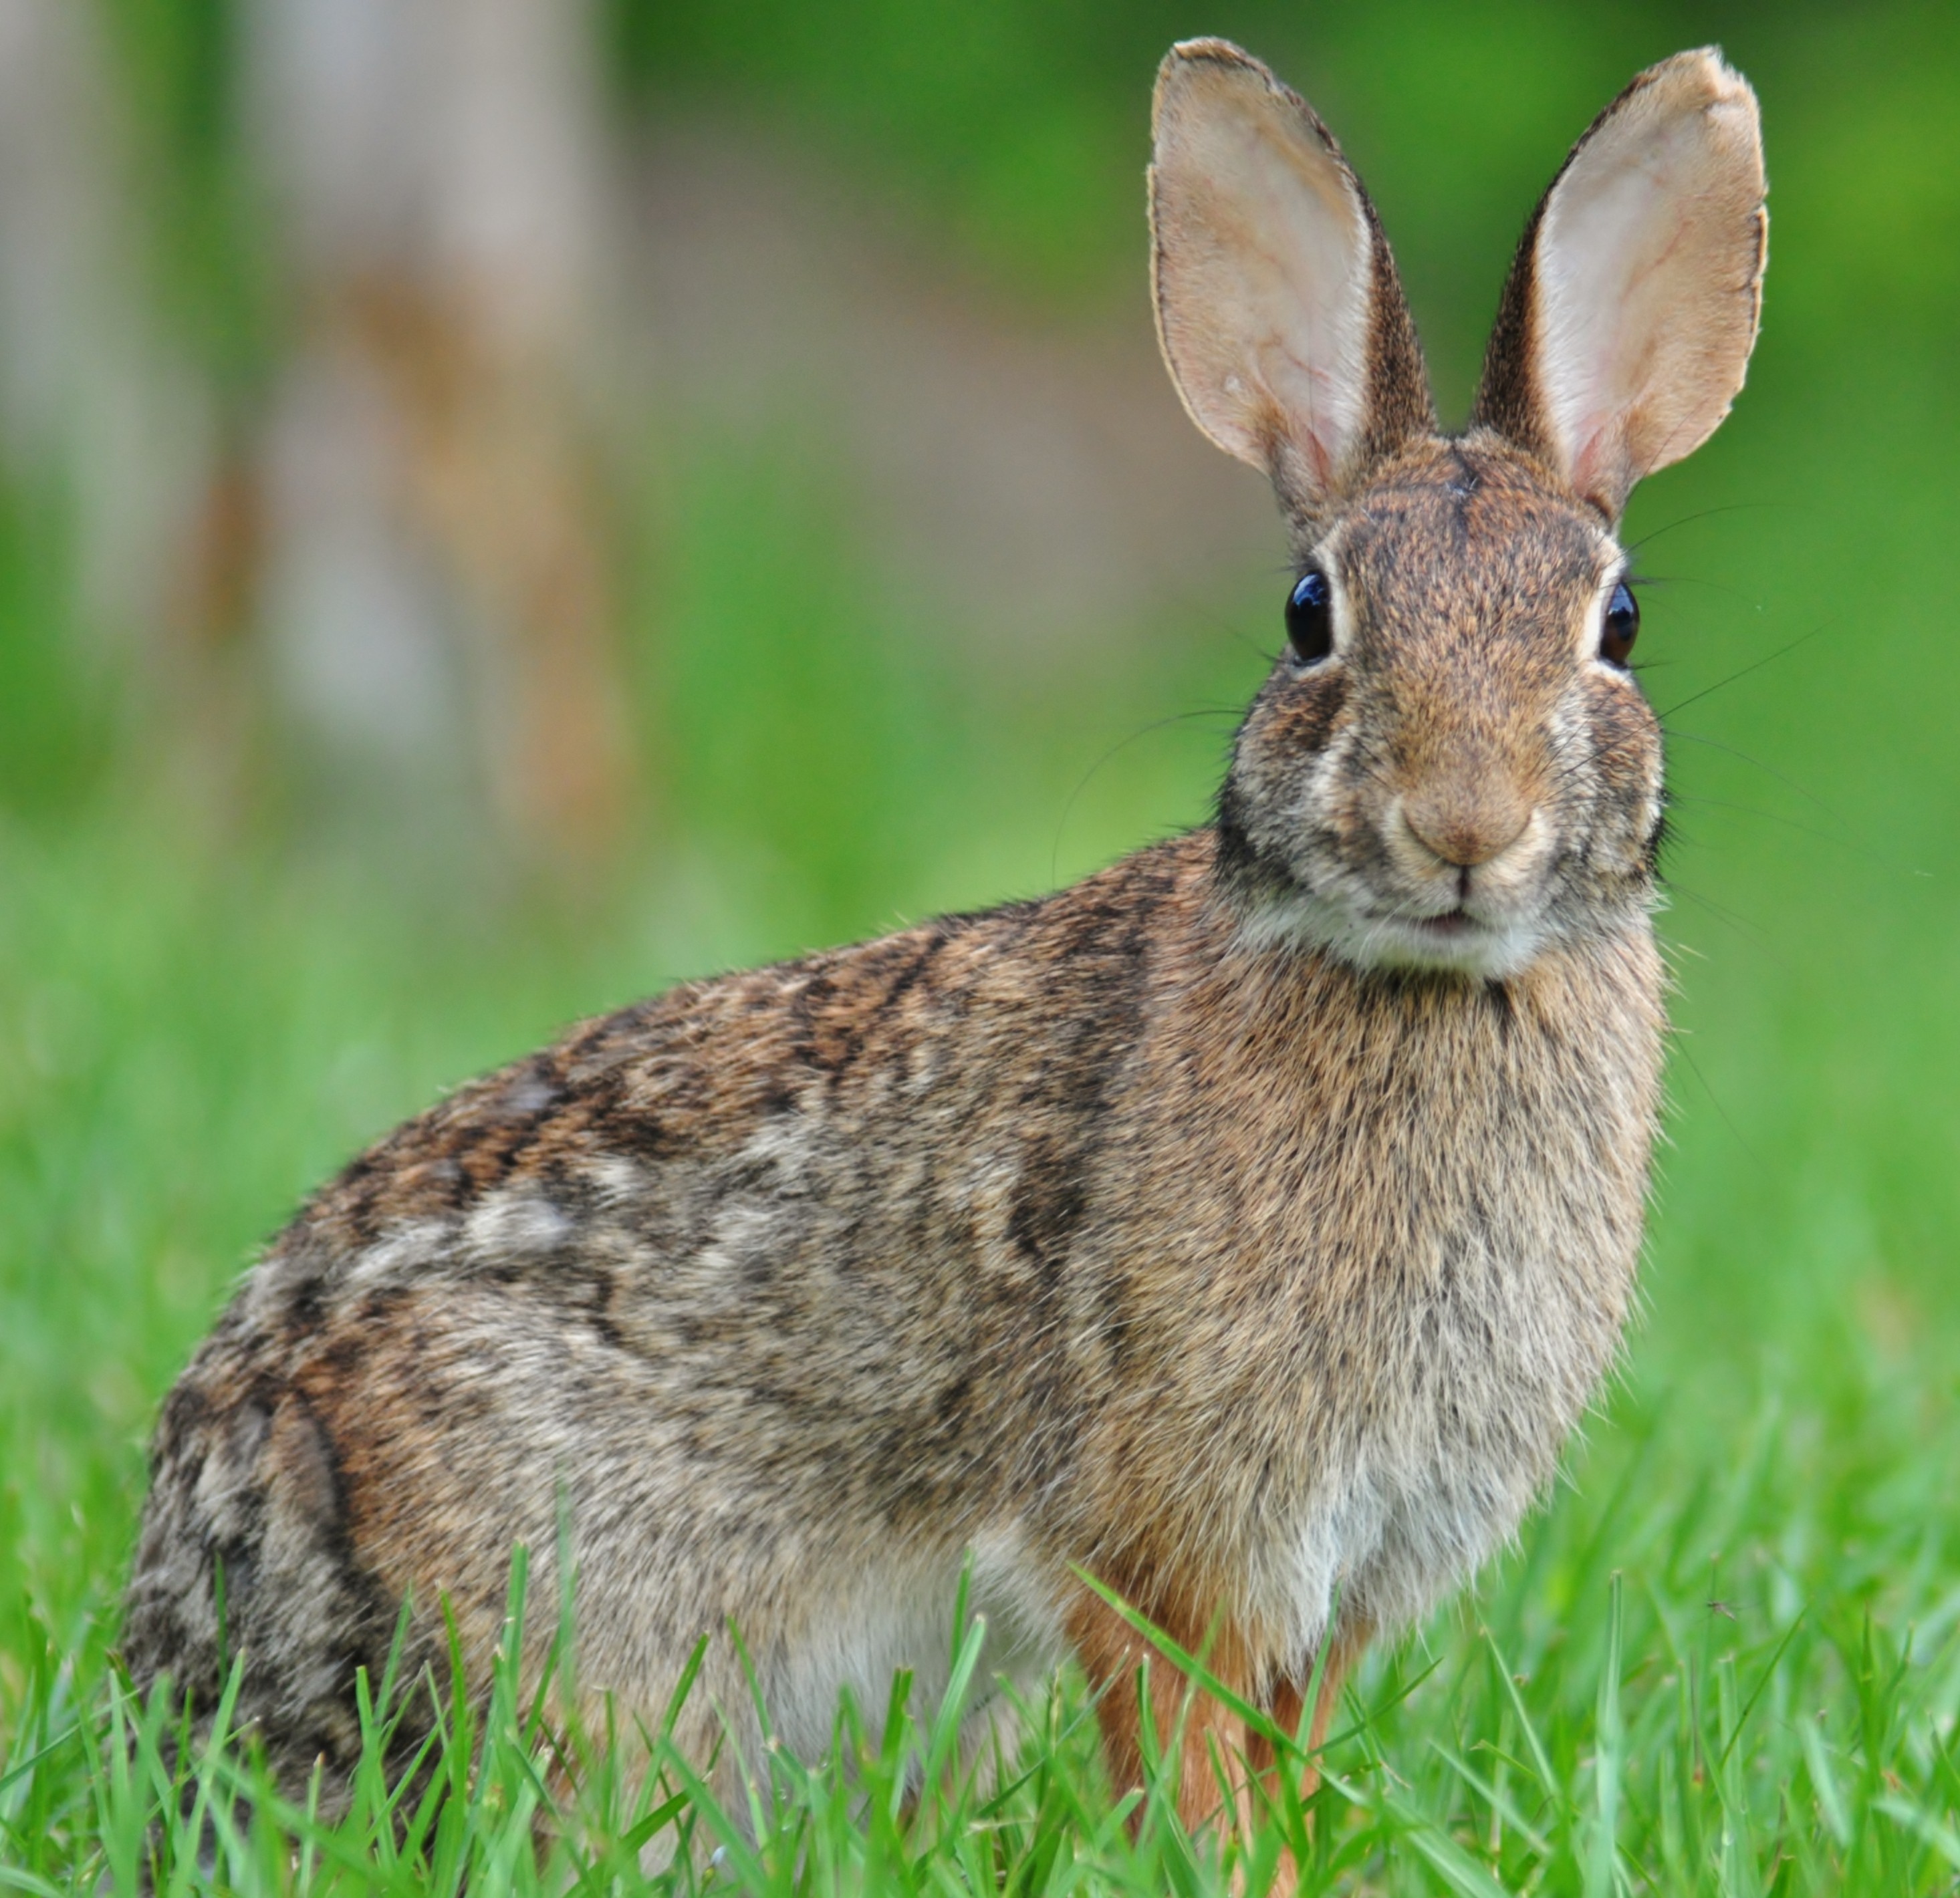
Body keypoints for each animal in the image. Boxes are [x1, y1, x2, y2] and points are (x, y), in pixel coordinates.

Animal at [123, 36, 1766, 1862]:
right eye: (1306, 616)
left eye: (1613, 622)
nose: (1462, 825)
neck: (1424, 987)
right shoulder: (1156, 1538)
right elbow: (1186, 1756)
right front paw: (1209, 1869)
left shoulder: (1342, 1579)